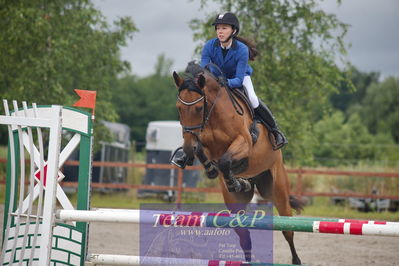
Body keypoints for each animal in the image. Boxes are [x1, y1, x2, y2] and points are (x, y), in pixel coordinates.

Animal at [173, 63, 304, 264]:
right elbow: (205, 153)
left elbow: (225, 161)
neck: (213, 115)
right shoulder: (205, 144)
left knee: (288, 229)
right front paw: (214, 171)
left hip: (278, 190)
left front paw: (234, 179)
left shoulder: (244, 143)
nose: (188, 148)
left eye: (198, 108)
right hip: (236, 203)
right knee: (244, 235)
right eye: (179, 108)